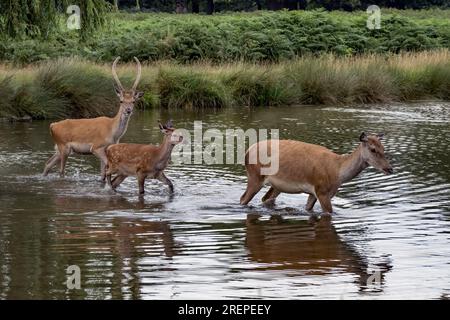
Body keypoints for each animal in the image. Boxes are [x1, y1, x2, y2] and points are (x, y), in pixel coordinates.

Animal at [241, 132, 392, 215]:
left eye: (383, 148)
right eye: (373, 149)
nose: (389, 168)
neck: (338, 172)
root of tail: (247, 152)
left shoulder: (314, 193)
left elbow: (308, 209)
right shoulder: (322, 190)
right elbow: (329, 212)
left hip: (276, 186)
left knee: (265, 198)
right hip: (255, 176)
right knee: (243, 199)